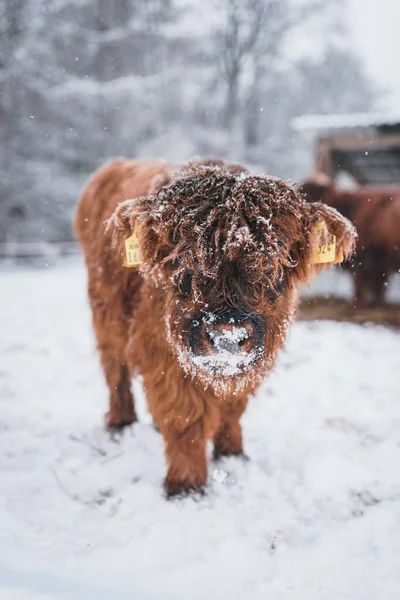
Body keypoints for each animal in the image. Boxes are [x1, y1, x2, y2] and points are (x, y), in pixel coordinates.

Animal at [76, 161, 356, 496]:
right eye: (181, 260)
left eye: (273, 262)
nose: (227, 336)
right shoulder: (165, 355)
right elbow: (184, 415)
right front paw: (186, 484)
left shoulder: (252, 362)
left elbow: (232, 406)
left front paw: (231, 453)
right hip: (105, 312)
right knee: (114, 366)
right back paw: (121, 423)